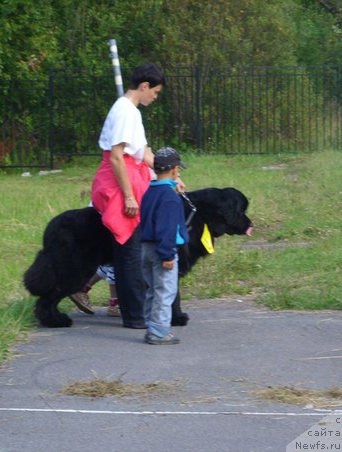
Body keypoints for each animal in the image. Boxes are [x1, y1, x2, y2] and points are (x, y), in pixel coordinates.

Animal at [24, 187, 251, 328]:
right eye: (241, 210)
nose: (251, 223)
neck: (198, 214)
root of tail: (51, 228)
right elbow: (173, 295)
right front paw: (176, 318)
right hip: (74, 269)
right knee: (48, 298)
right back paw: (54, 321)